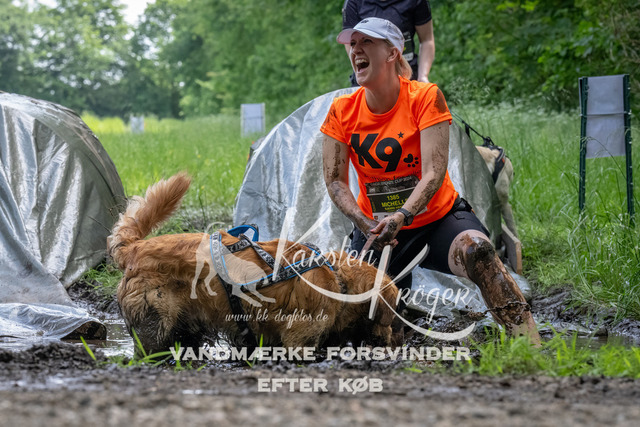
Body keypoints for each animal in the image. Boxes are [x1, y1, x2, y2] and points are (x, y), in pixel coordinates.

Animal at [107, 173, 398, 355]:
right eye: (391, 314)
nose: (392, 342)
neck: (338, 280)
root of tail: (135, 248)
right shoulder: (299, 338)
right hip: (157, 320)